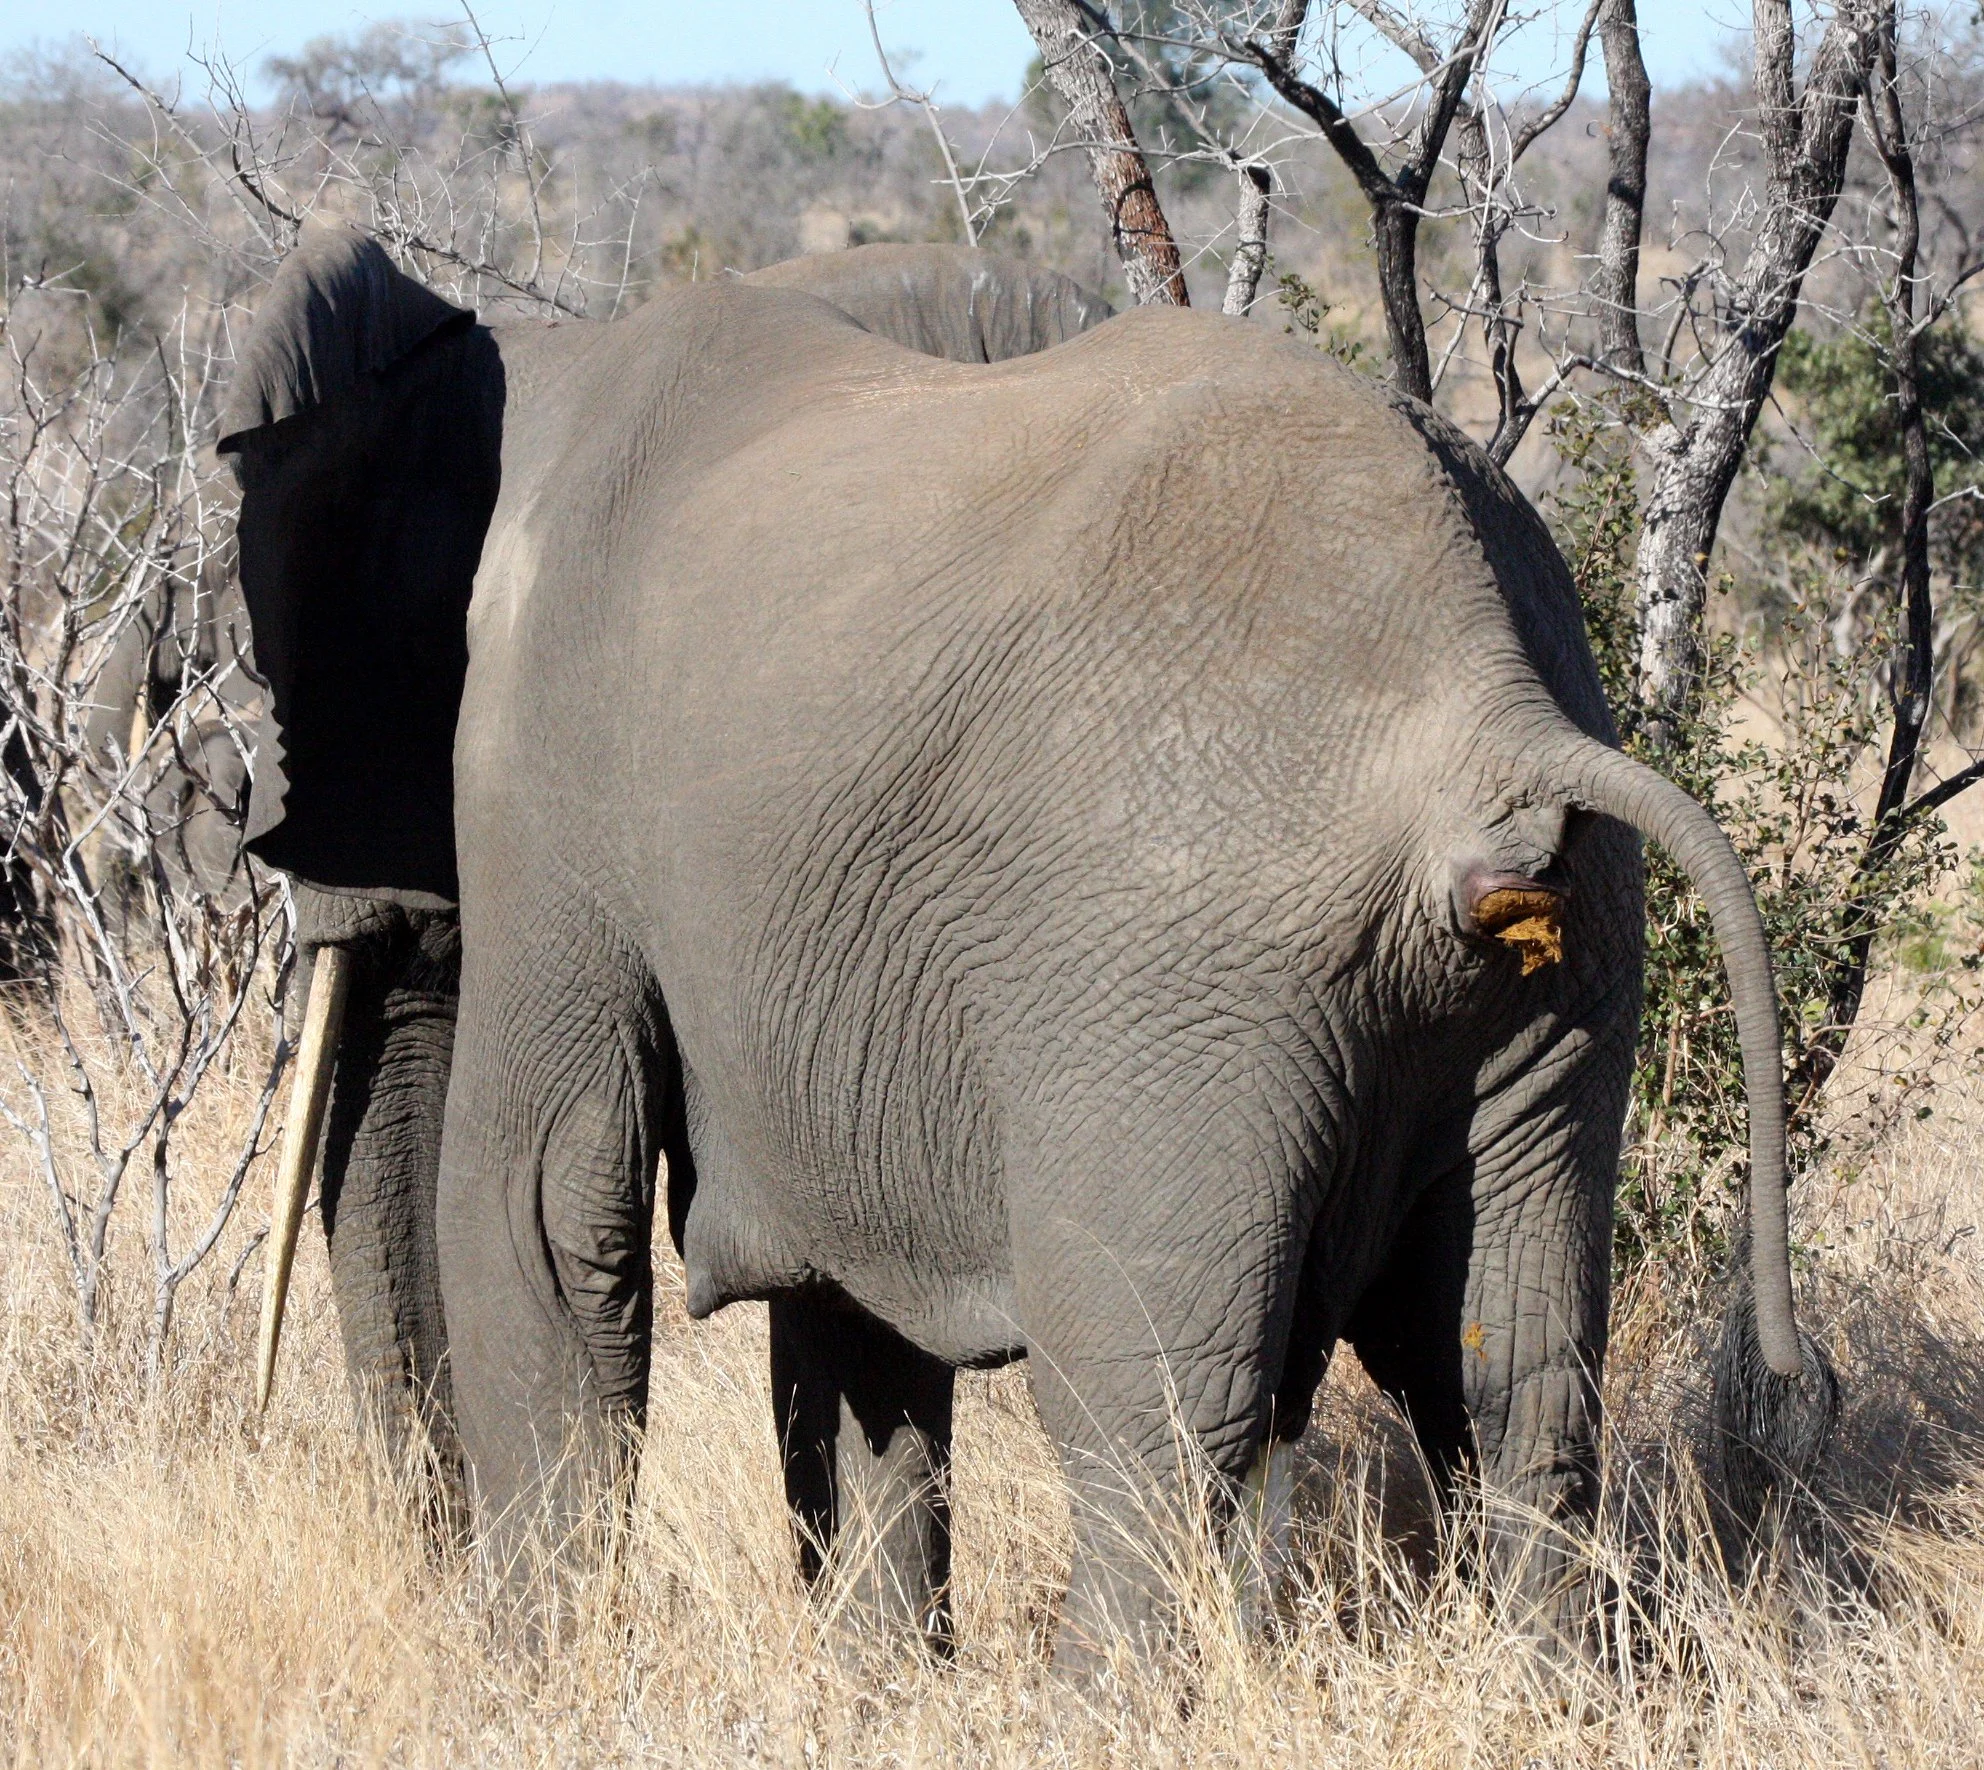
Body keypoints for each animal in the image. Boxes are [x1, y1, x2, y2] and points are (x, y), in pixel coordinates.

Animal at [224, 224, 1836, 1665]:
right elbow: (841, 1296)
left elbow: (541, 1200)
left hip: (1175, 990)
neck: (521, 363)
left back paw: (1101, 1706)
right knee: (1510, 1371)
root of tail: (1487, 714)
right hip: (1563, 970)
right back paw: (1539, 1686)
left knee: (1155, 1409)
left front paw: (528, 1672)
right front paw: (881, 1684)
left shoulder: (542, 774)